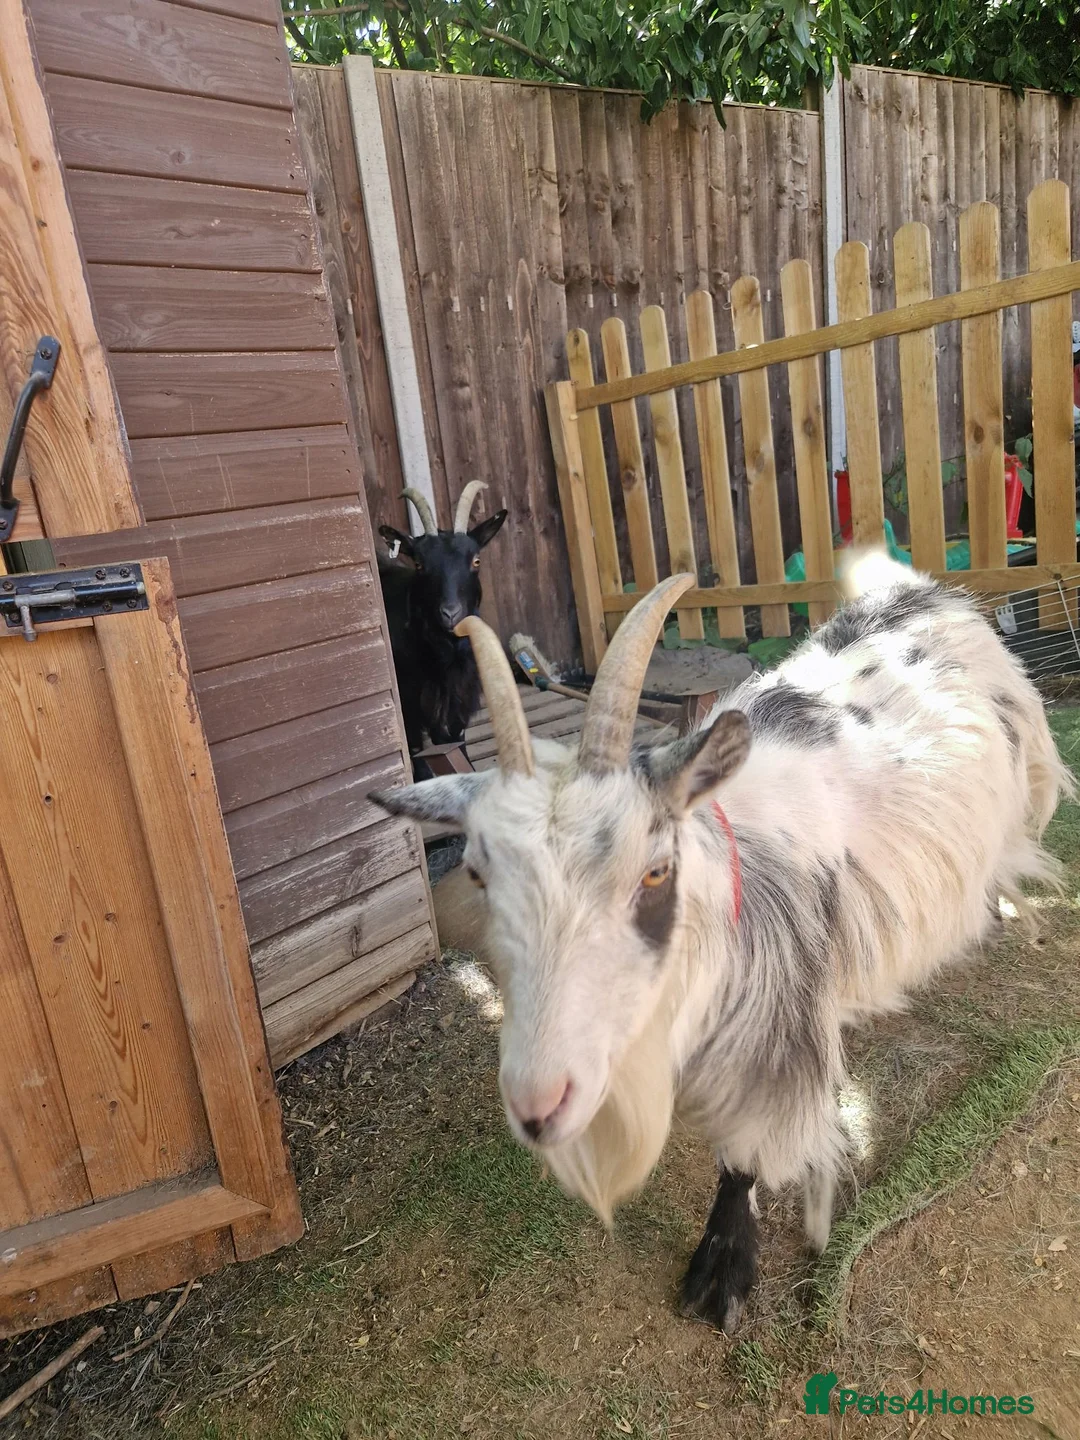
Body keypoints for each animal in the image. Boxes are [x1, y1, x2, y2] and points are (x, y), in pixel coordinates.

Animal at [372, 556, 1071, 1331]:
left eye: (654, 870)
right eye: (477, 872)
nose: (539, 1103)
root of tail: (911, 586)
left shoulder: (776, 1032)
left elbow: (742, 1154)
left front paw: (723, 1273)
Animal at [378, 482, 507, 779]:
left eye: (476, 561)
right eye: (419, 564)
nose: (450, 614)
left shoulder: (457, 699)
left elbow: (456, 742)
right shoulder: (412, 703)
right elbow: (421, 752)